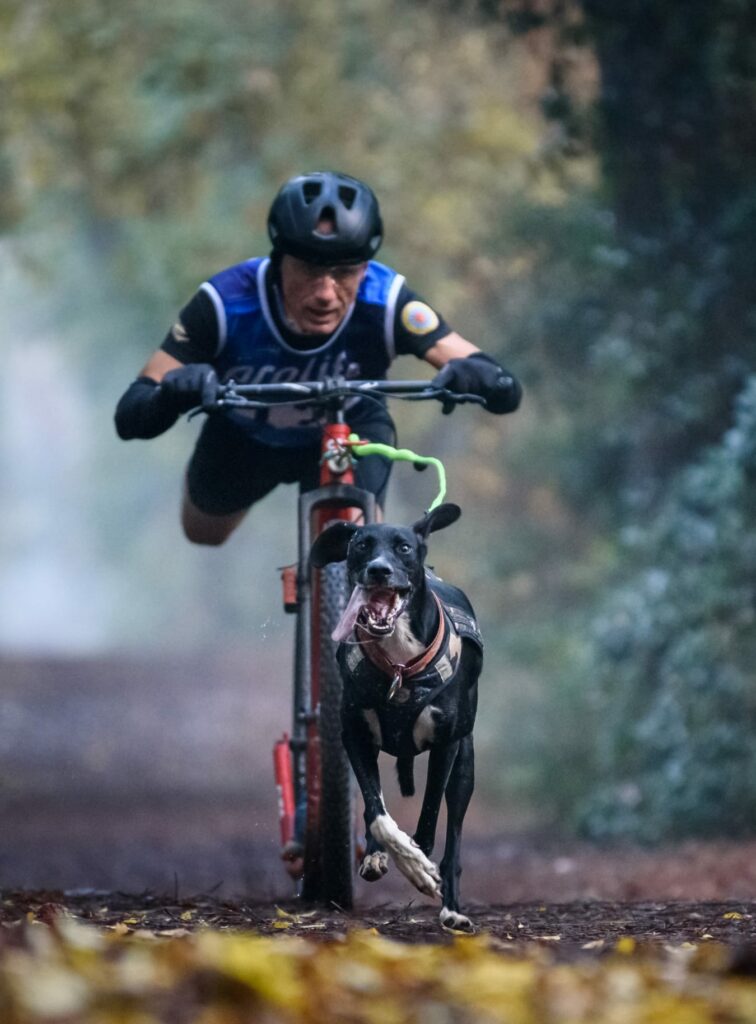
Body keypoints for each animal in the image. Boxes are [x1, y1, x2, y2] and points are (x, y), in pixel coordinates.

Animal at [307, 499, 479, 933]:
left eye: (403, 547)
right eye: (361, 545)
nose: (378, 570)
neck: (400, 662)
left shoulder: (447, 743)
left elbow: (430, 813)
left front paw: (420, 864)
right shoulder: (354, 735)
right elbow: (377, 812)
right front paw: (402, 858)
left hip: (465, 761)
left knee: (453, 831)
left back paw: (452, 906)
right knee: (375, 806)